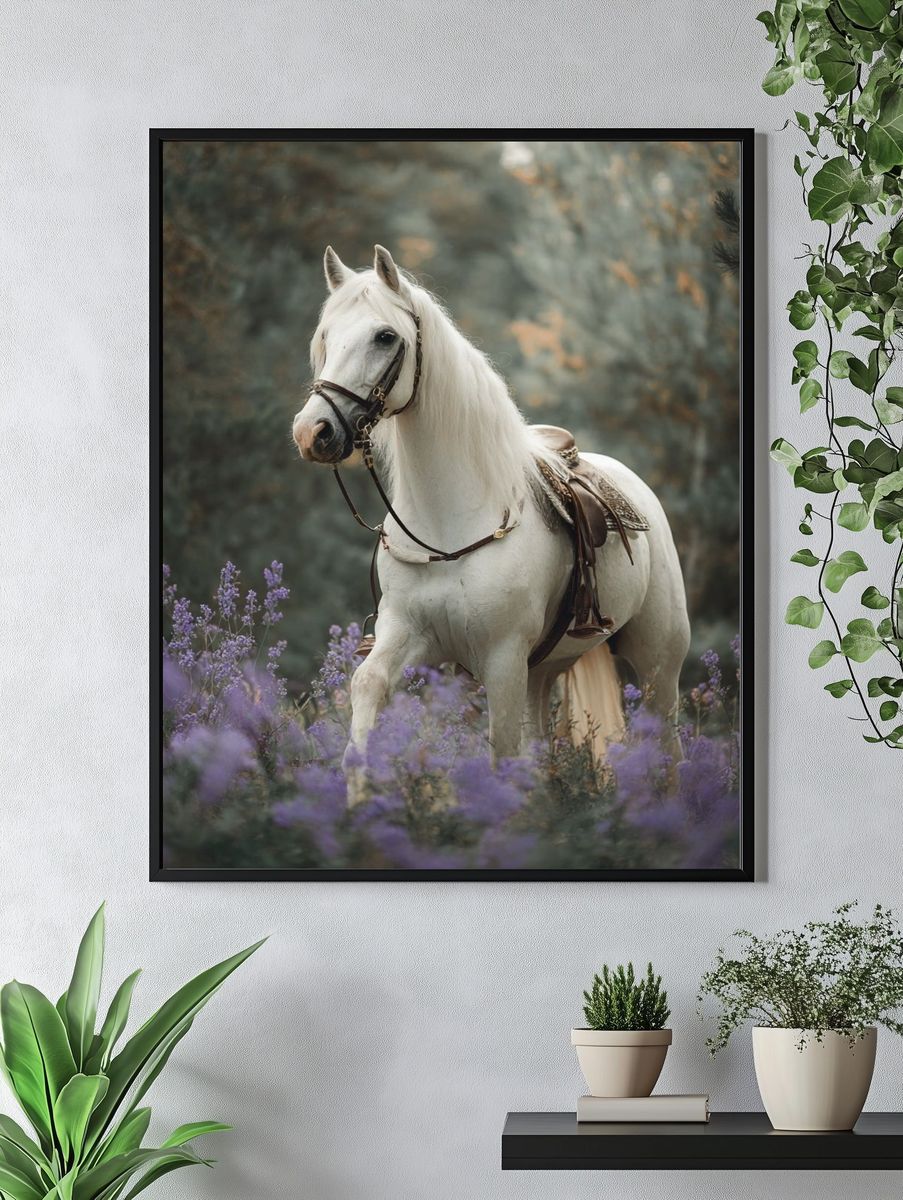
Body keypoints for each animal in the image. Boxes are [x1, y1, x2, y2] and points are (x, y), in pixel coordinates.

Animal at [292, 245, 690, 788]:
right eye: (326, 337)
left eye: (385, 336)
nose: (313, 432)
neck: (446, 530)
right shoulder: (406, 634)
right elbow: (367, 691)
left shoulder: (502, 659)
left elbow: (502, 752)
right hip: (542, 670)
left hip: (656, 667)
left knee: (667, 747)